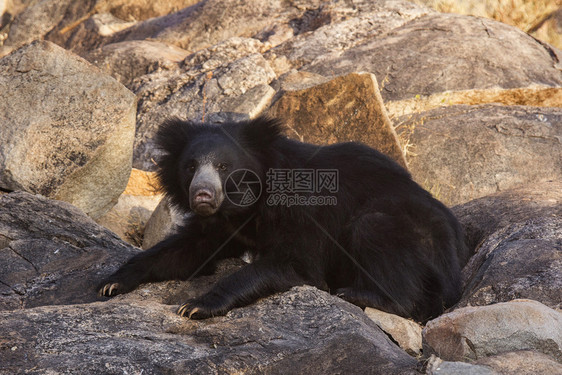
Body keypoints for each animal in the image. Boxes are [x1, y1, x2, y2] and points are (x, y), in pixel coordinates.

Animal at [97, 117, 468, 324]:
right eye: (190, 166)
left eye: (224, 167)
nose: (202, 195)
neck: (245, 206)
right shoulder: (224, 226)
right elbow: (186, 249)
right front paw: (112, 282)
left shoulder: (303, 213)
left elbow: (297, 264)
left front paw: (196, 305)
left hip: (414, 235)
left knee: (377, 236)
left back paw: (359, 294)